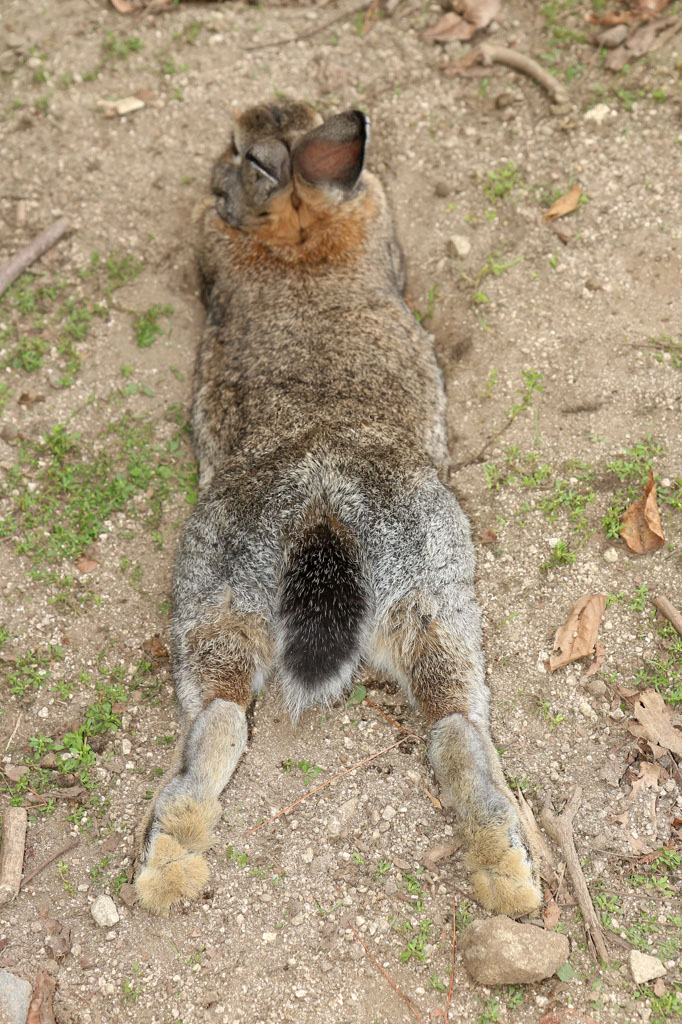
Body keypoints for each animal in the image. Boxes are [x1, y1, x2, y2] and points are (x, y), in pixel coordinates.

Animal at [134, 100, 541, 919]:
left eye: (240, 151)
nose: (215, 176)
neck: (298, 229)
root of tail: (323, 509)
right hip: (418, 591)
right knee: (453, 721)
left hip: (232, 593)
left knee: (226, 717)